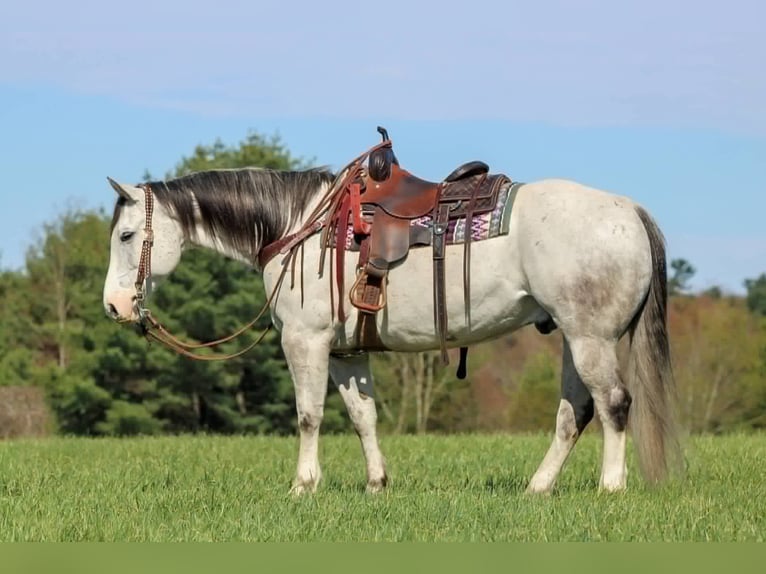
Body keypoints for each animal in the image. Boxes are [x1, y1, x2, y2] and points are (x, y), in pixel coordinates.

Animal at [103, 150, 681, 495]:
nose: (114, 306)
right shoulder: (346, 352)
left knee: (613, 404)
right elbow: (364, 417)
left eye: (127, 235)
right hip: (572, 338)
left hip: (590, 338)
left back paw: (610, 487)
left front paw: (303, 486)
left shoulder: (305, 343)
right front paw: (376, 484)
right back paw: (537, 488)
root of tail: (628, 210)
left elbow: (308, 416)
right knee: (574, 412)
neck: (299, 226)